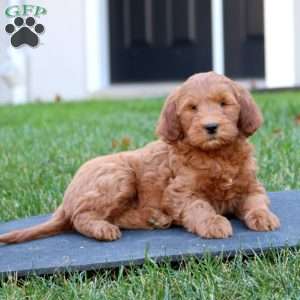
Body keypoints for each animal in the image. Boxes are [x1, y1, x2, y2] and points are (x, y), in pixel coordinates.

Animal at [0, 72, 278, 244]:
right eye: (192, 108)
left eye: (223, 104)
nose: (210, 127)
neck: (217, 155)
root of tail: (66, 199)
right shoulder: (180, 193)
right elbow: (200, 207)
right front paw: (213, 223)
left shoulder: (251, 185)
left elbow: (256, 202)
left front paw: (263, 217)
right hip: (119, 176)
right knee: (81, 217)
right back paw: (103, 229)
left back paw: (154, 219)